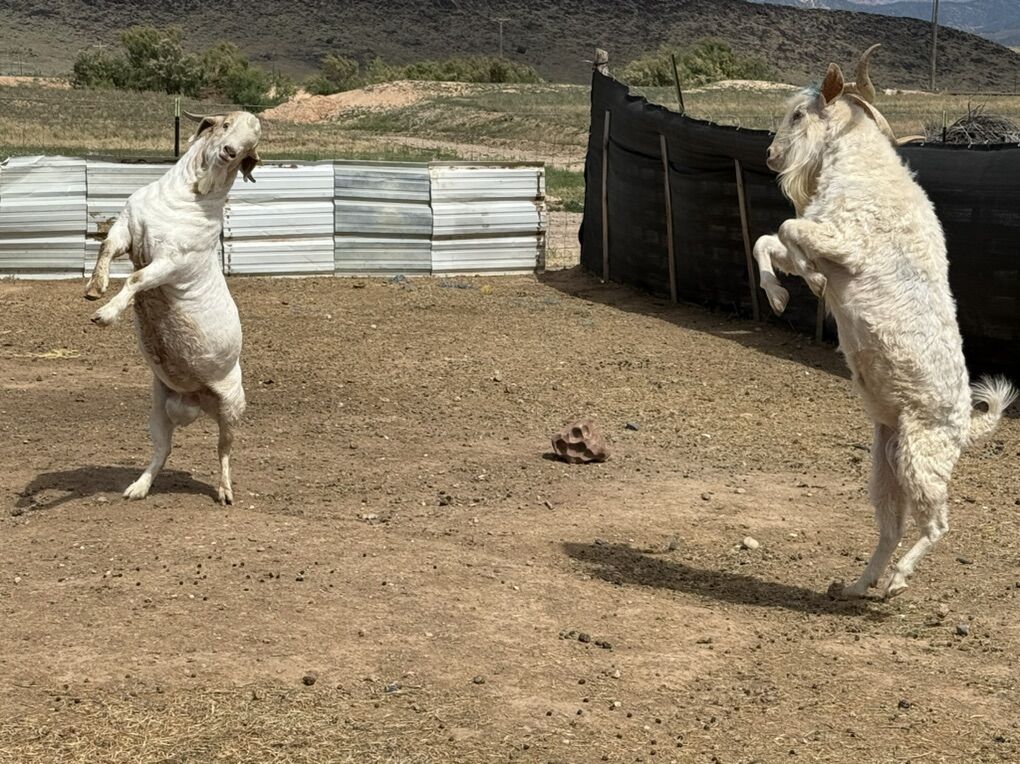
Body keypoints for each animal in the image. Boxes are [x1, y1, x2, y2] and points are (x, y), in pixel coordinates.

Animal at [84, 111, 262, 505]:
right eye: (225, 125)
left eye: (251, 145)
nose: (230, 152)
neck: (186, 196)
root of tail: (194, 401)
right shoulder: (128, 227)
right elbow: (106, 247)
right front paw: (94, 289)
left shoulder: (172, 262)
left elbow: (135, 281)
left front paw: (105, 315)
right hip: (159, 409)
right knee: (163, 450)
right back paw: (137, 488)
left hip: (232, 407)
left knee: (223, 450)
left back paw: (225, 492)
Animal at [756, 55, 1017, 599]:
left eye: (798, 115)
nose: (769, 156)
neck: (863, 172)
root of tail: (968, 425)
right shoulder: (823, 234)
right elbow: (767, 241)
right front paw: (782, 294)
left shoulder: (846, 242)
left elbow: (787, 231)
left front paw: (808, 278)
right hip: (886, 464)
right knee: (891, 528)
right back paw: (857, 585)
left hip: (922, 457)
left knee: (936, 524)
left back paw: (897, 580)